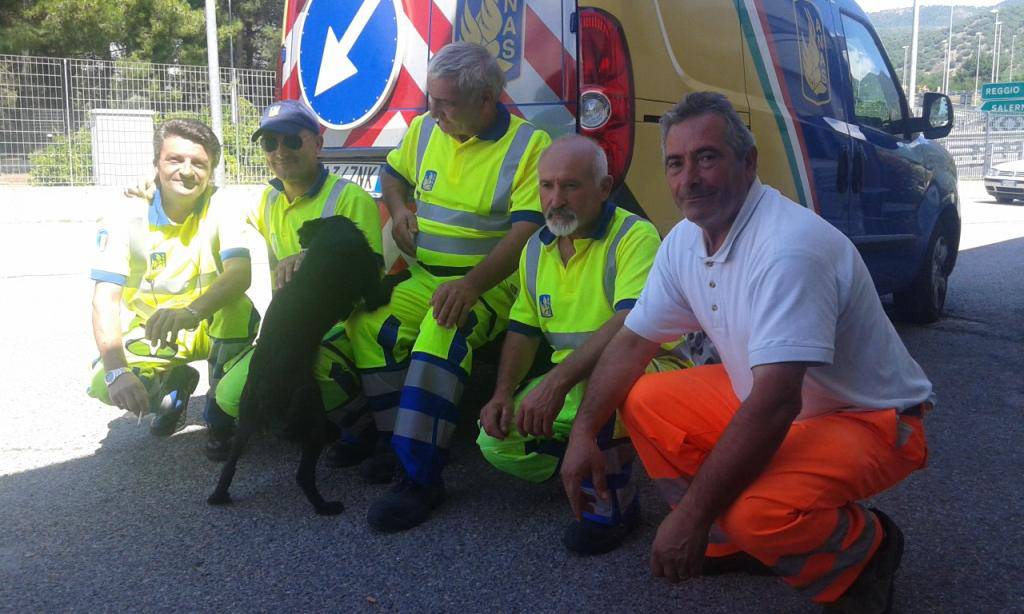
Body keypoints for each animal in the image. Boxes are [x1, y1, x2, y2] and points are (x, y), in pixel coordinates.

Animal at [207, 215, 395, 513]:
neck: (331, 238)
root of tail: (265, 390)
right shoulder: (371, 293)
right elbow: (383, 289)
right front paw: (400, 276)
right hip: (311, 408)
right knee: (303, 475)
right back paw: (326, 506)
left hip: (246, 420)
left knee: (230, 465)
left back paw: (219, 495)